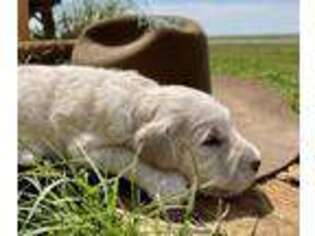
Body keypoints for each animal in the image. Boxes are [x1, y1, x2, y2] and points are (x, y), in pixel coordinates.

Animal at [17, 65, 262, 201]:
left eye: (232, 126)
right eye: (211, 140)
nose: (258, 162)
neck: (137, 100)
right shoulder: (83, 150)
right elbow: (128, 158)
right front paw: (168, 184)